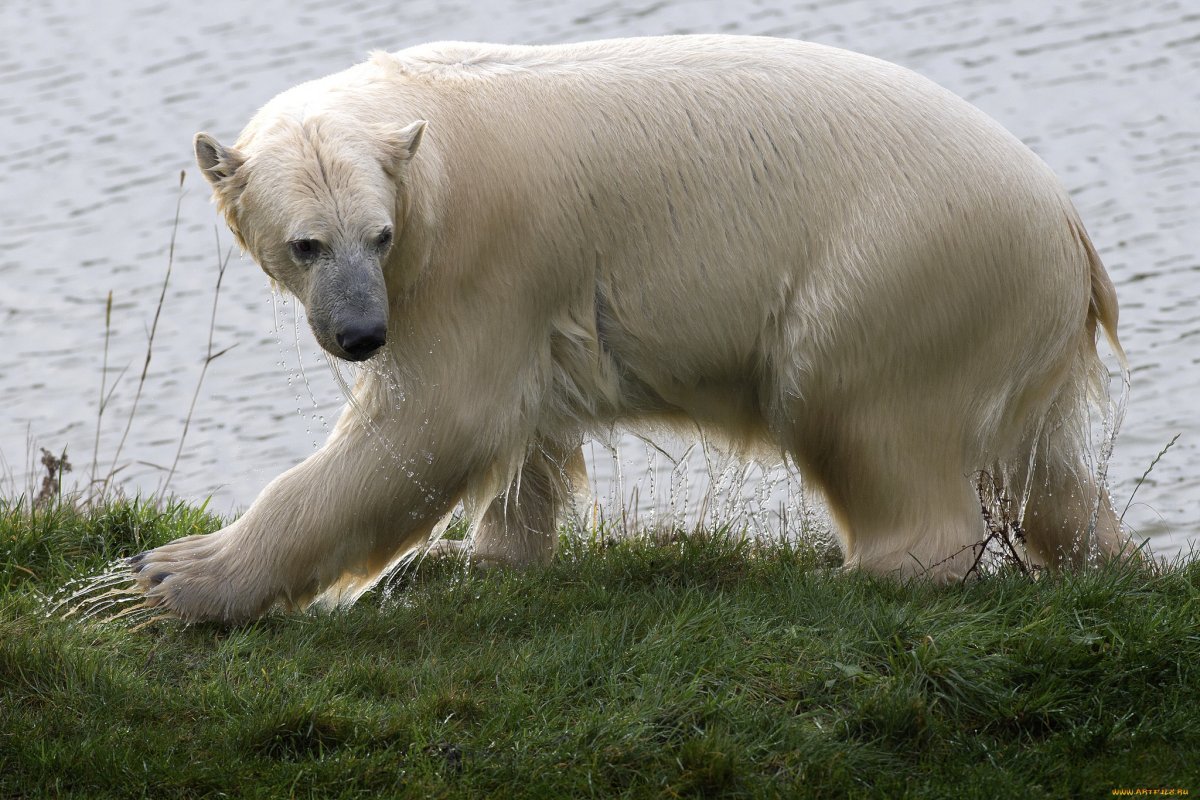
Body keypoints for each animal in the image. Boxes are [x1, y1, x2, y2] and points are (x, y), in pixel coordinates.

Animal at [129, 35, 1132, 623]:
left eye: (376, 236)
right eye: (305, 245)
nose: (362, 334)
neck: (427, 131)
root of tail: (1071, 232)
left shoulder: (471, 258)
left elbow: (434, 421)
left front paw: (175, 575)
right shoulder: (516, 286)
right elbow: (525, 427)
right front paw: (484, 556)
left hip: (902, 263)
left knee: (852, 405)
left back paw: (859, 572)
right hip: (1008, 316)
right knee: (1042, 467)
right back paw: (1103, 560)